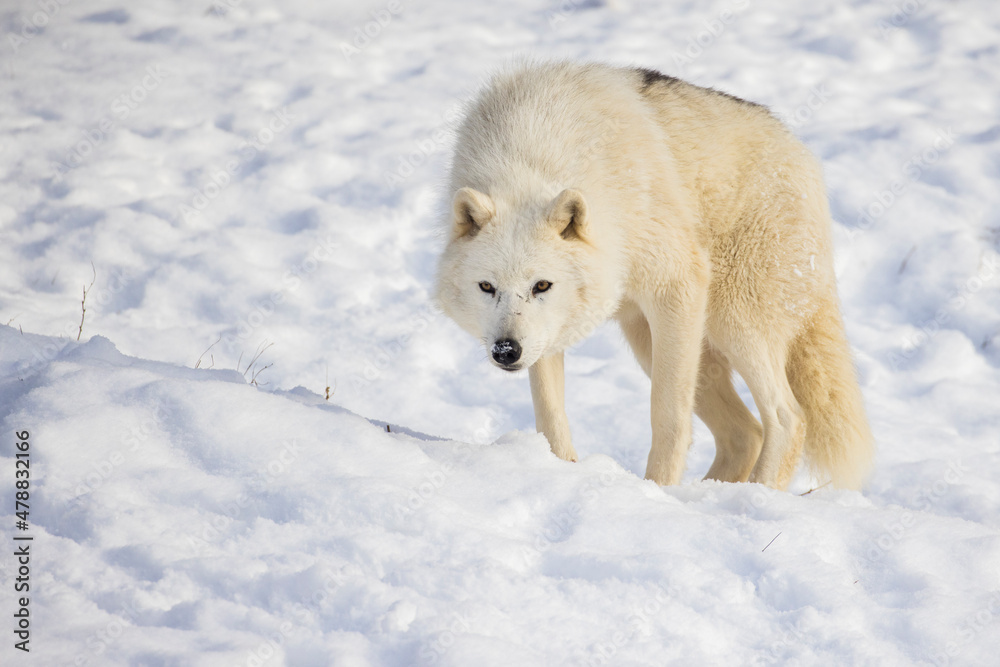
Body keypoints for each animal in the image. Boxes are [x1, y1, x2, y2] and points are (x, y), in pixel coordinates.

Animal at [434, 61, 873, 490]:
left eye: (541, 285)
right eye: (487, 287)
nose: (506, 351)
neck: (531, 155)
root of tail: (803, 154)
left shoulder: (677, 283)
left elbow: (668, 416)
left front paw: (655, 490)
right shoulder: (547, 337)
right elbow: (550, 419)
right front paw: (562, 470)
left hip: (731, 322)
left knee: (786, 419)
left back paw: (751, 494)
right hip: (655, 339)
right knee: (746, 433)